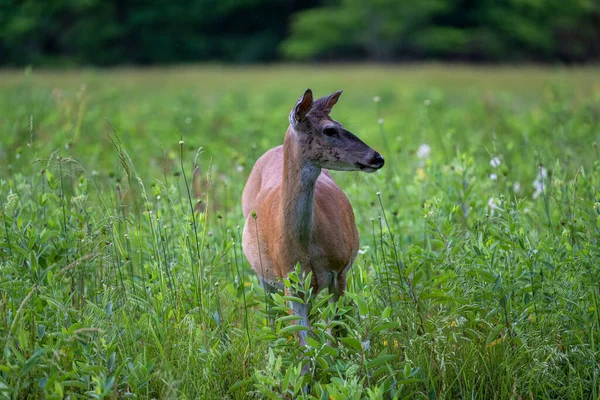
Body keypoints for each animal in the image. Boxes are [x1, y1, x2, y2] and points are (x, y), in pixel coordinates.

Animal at [240, 89, 384, 346]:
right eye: (330, 130)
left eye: (341, 124)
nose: (377, 157)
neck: (306, 246)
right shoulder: (290, 280)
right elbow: (303, 343)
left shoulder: (340, 270)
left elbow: (334, 331)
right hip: (263, 276)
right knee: (271, 315)